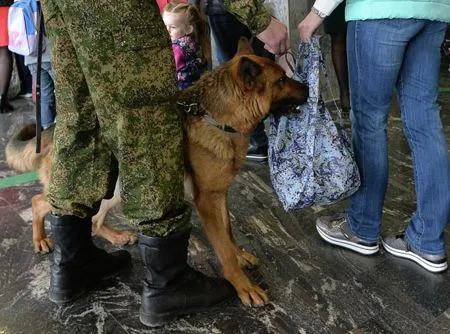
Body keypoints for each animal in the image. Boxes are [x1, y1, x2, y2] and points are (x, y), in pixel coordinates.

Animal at [5, 37, 308, 306]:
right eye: (281, 80)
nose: (307, 87)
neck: (216, 117)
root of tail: (52, 129)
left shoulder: (219, 194)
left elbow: (229, 231)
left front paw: (240, 254)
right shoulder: (207, 201)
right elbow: (222, 247)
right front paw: (242, 285)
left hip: (113, 191)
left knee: (93, 221)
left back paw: (116, 237)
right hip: (89, 187)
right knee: (40, 202)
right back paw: (41, 239)